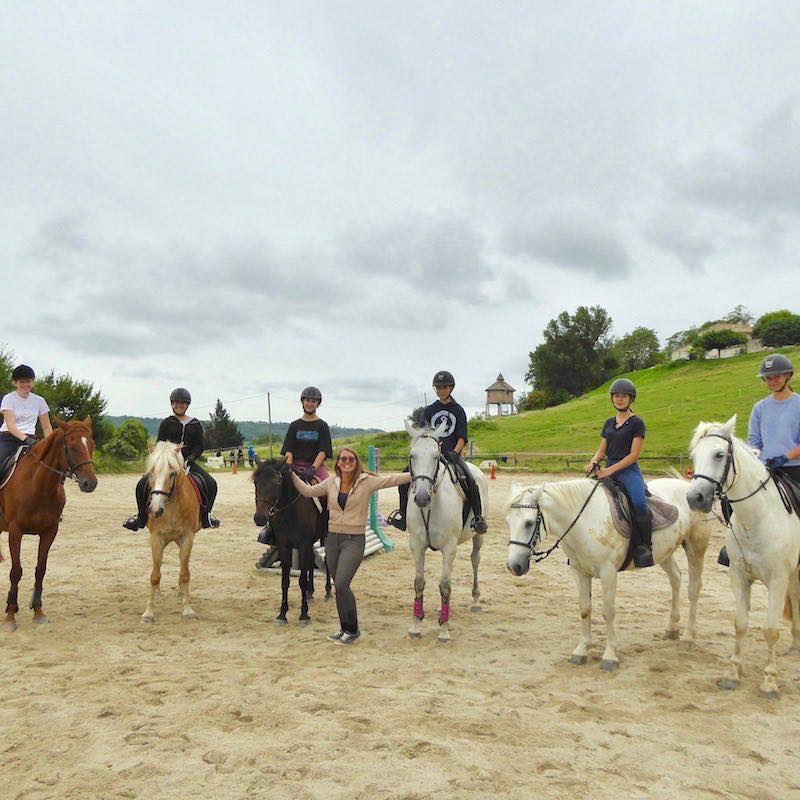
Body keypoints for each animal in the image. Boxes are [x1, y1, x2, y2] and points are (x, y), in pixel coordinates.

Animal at [0, 418, 97, 632]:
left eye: (92, 445)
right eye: (72, 446)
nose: (90, 483)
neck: (38, 485)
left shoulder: (50, 531)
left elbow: (40, 570)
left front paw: (38, 611)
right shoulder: (15, 531)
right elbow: (16, 571)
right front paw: (10, 614)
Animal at [139, 440, 200, 620]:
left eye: (172, 473)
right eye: (151, 472)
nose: (155, 510)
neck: (171, 506)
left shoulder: (187, 538)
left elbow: (185, 573)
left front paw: (188, 609)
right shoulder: (156, 538)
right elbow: (155, 575)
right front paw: (148, 612)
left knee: (181, 565)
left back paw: (181, 593)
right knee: (158, 566)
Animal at [406, 422, 488, 640]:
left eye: (436, 456)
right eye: (412, 455)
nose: (422, 497)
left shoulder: (449, 547)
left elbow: (445, 586)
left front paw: (443, 629)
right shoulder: (417, 544)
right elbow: (419, 583)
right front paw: (416, 625)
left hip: (478, 536)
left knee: (475, 560)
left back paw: (475, 601)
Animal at [506, 476, 712, 668]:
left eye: (529, 523)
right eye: (508, 522)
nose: (513, 566)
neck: (585, 521)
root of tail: (687, 487)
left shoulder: (608, 573)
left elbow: (608, 612)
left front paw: (610, 656)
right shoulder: (579, 571)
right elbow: (585, 609)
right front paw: (581, 650)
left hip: (695, 548)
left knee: (693, 588)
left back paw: (689, 638)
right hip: (664, 552)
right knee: (675, 578)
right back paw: (672, 629)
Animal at [684, 416, 800, 696]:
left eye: (719, 454)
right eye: (693, 456)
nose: (695, 498)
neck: (757, 519)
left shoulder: (777, 581)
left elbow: (771, 630)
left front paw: (769, 680)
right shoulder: (738, 576)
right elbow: (740, 623)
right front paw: (733, 673)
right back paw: (794, 644)